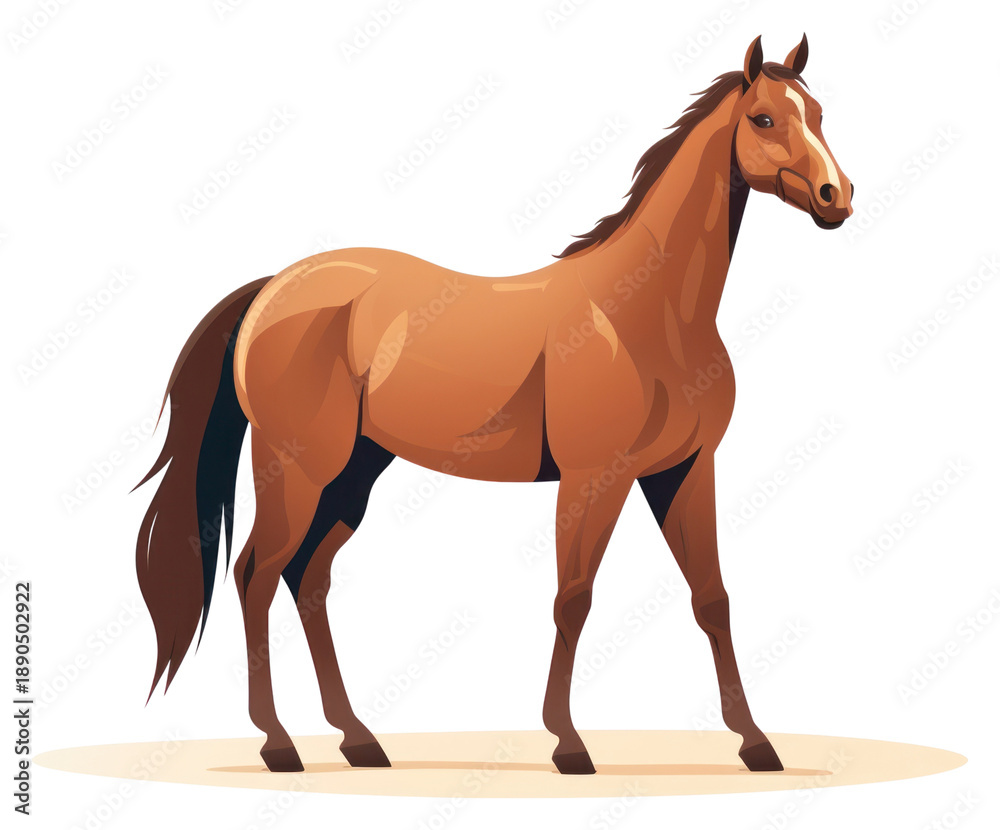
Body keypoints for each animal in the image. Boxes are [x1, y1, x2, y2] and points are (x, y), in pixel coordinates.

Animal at [135, 34, 852, 775]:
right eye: (764, 118)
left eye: (819, 113)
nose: (838, 196)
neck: (646, 312)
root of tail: (274, 287)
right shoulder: (595, 477)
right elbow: (574, 598)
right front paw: (568, 743)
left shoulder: (682, 471)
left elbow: (711, 598)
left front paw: (755, 742)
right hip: (299, 466)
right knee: (257, 573)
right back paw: (278, 743)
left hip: (356, 472)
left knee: (307, 577)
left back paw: (358, 738)